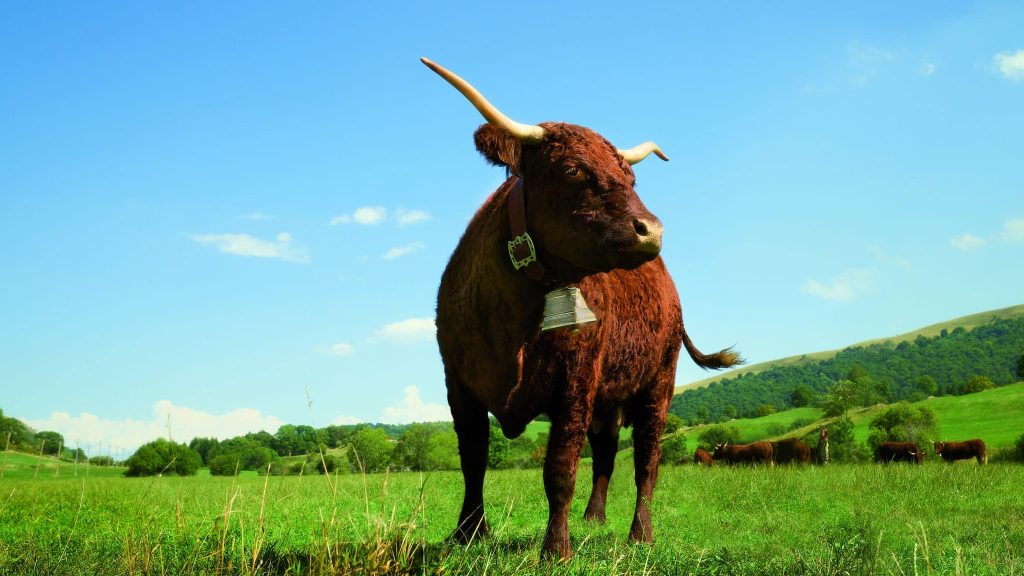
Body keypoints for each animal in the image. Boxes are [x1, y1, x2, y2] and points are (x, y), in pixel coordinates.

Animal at [424, 58, 742, 559]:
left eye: (631, 178)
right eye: (572, 169)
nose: (650, 229)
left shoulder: (574, 383)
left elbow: (560, 466)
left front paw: (556, 548)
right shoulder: (459, 382)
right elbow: (473, 460)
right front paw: (468, 533)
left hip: (659, 382)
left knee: (647, 459)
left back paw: (640, 533)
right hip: (609, 399)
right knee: (607, 453)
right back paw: (594, 519)